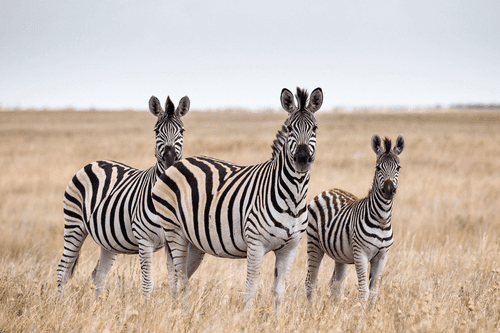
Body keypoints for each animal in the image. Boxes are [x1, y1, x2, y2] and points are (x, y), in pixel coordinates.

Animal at [55, 93, 190, 298]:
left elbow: (174, 282)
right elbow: (148, 284)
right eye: (156, 131)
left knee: (99, 274)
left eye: (181, 130)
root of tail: (95, 162)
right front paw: (146, 307)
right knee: (63, 270)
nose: (169, 160)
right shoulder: (144, 240)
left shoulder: (172, 240)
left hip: (107, 240)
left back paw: (97, 305)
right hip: (74, 224)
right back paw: (59, 303)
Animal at [153, 86, 324, 312]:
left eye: (314, 128)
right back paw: (180, 313)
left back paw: (181, 311)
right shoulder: (256, 243)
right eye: (289, 129)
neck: (293, 197)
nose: (302, 159)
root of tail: (176, 164)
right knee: (178, 276)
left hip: (194, 241)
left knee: (182, 277)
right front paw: (247, 317)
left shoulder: (290, 248)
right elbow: (251, 288)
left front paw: (277, 318)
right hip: (174, 230)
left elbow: (279, 292)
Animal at [304, 133, 406, 304]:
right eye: (378, 167)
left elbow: (374, 292)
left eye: (398, 167)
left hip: (340, 255)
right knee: (310, 282)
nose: (388, 190)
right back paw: (311, 309)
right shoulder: (361, 254)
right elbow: (364, 291)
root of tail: (328, 190)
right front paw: (362, 312)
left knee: (335, 284)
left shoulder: (382, 256)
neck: (382, 220)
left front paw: (371, 312)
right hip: (314, 244)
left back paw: (334, 308)